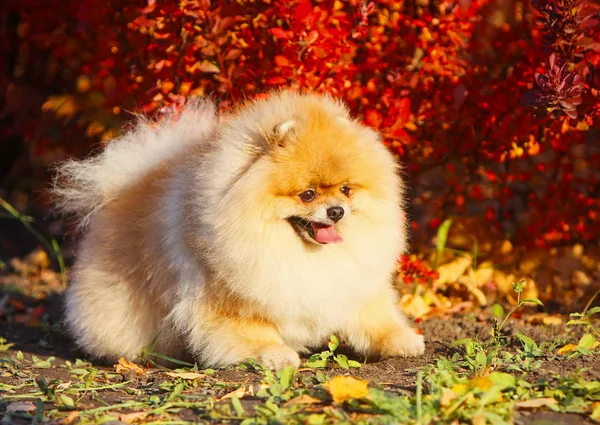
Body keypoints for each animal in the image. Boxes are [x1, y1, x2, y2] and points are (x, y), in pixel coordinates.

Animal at [54, 92, 424, 368]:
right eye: (307, 194)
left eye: (346, 190)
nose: (336, 211)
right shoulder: (227, 302)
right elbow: (252, 334)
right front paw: (276, 354)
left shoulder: (352, 284)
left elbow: (374, 318)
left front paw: (403, 340)